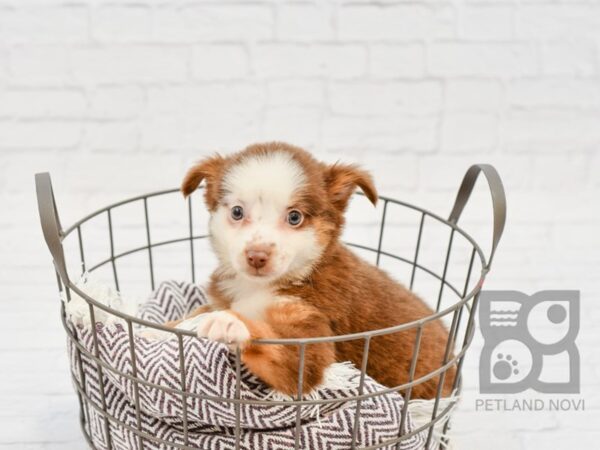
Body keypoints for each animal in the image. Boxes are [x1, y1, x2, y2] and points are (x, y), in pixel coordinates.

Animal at [169, 142, 454, 400]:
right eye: (237, 212)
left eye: (295, 217)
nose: (257, 256)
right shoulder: (221, 298)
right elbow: (188, 316)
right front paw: (158, 330)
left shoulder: (309, 344)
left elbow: (277, 346)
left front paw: (233, 323)